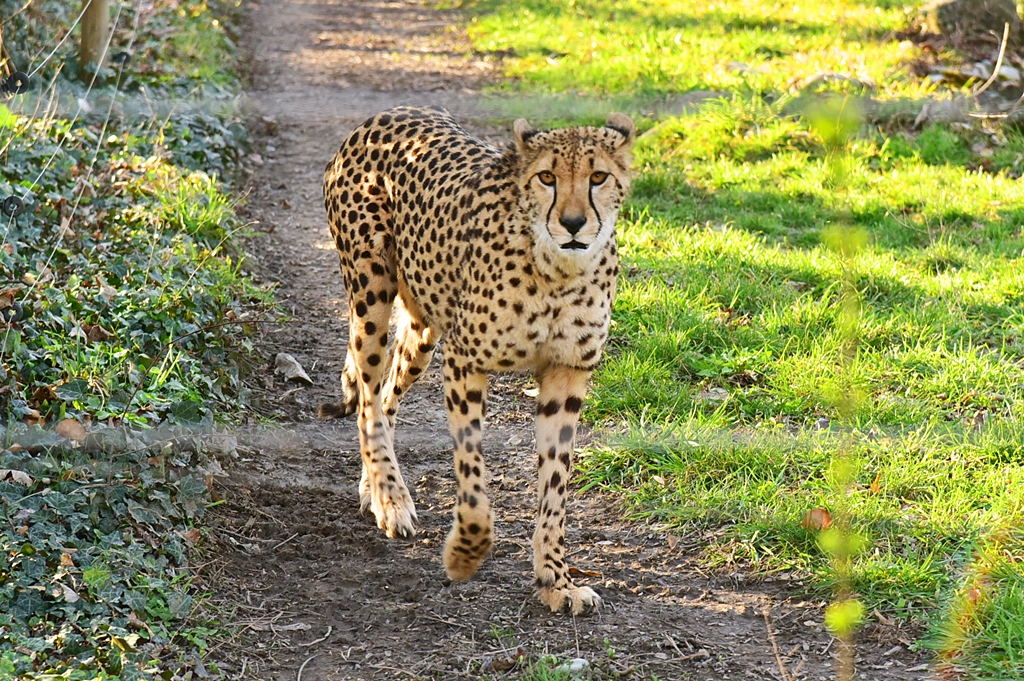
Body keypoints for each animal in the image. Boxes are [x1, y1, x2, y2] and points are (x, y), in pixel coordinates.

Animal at [320, 106, 634, 615]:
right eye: (547, 177)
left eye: (598, 176)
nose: (571, 223)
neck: (558, 272)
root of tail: (386, 113)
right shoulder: (465, 361)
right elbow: (471, 472)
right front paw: (465, 554)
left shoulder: (566, 373)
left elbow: (555, 485)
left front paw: (556, 579)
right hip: (371, 297)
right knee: (367, 399)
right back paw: (390, 498)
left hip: (424, 329)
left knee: (385, 398)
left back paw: (376, 488)